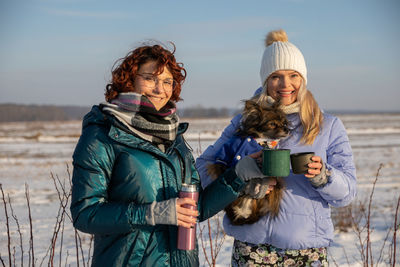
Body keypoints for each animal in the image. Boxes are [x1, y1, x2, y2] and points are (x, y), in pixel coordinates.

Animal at [208, 98, 290, 226]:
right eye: (272, 124)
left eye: (284, 123)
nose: (287, 129)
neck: (261, 140)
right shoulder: (223, 156)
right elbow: (225, 169)